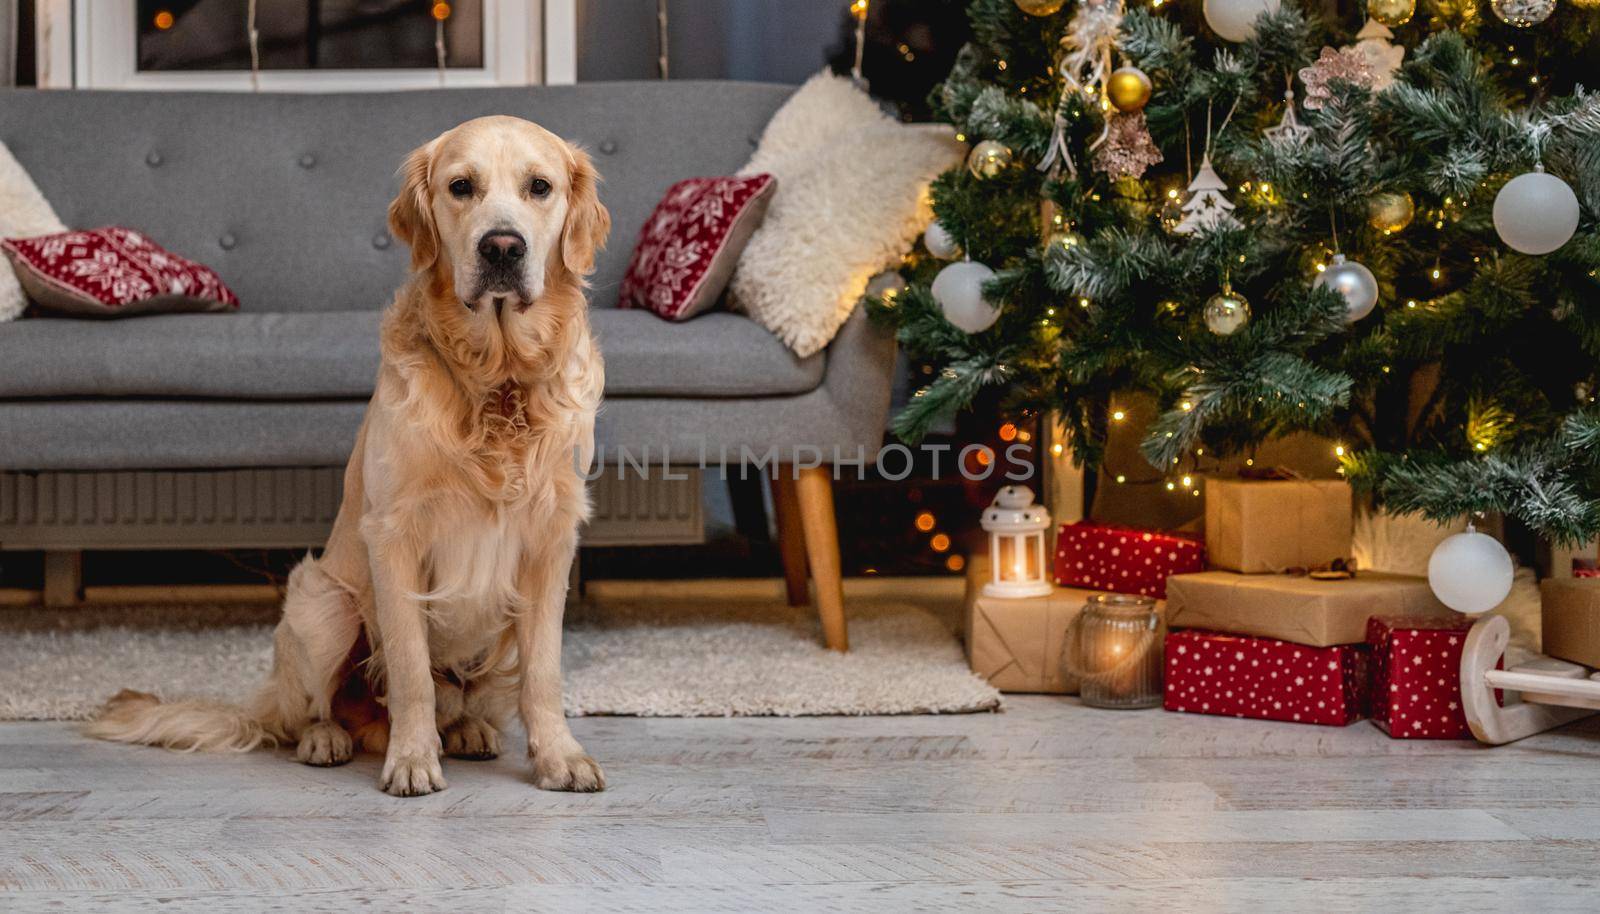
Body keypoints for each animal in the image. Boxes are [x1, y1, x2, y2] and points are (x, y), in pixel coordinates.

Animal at [89, 116, 611, 800]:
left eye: (540, 187)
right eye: (461, 186)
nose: (502, 248)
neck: (496, 381)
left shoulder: (552, 539)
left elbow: (544, 673)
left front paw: (559, 756)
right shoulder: (393, 536)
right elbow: (412, 671)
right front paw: (412, 759)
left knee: (468, 696)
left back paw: (467, 729)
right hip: (322, 603)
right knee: (315, 710)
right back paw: (328, 739)